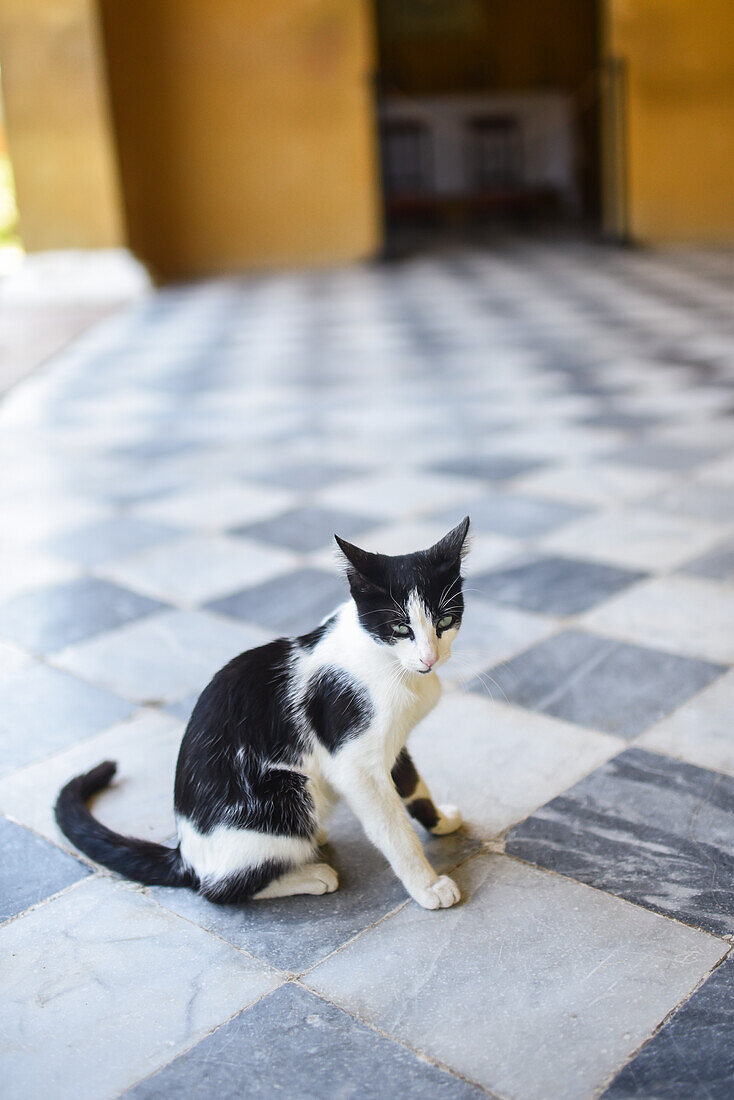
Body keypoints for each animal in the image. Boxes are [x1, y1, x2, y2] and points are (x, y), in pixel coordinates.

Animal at [56, 519, 470, 906]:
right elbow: (392, 827)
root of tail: (186, 855)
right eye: (399, 627)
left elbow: (413, 785)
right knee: (218, 890)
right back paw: (310, 874)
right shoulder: (353, 760)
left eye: (445, 622)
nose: (429, 659)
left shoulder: (393, 744)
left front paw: (440, 822)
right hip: (285, 791)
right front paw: (427, 886)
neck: (392, 664)